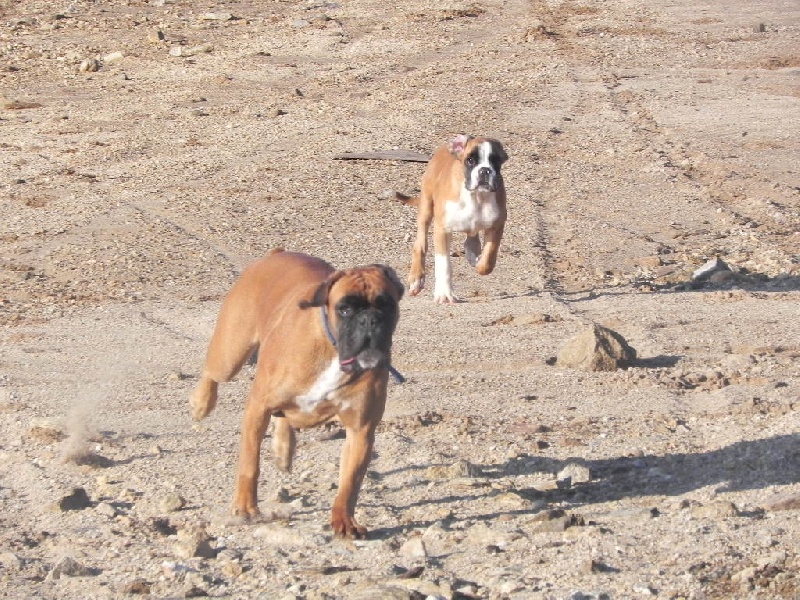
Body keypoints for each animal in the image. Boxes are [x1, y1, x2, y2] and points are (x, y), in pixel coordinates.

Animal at [190, 248, 404, 540]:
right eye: (345, 308)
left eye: (387, 305)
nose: (369, 319)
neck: (333, 349)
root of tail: (277, 253)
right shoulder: (258, 406)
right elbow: (249, 462)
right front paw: (245, 507)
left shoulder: (360, 431)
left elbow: (350, 482)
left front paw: (344, 520)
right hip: (230, 353)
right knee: (212, 373)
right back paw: (201, 404)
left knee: (284, 418)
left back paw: (283, 449)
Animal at [398, 136, 510, 304]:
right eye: (470, 160)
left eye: (495, 160)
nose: (485, 170)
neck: (476, 197)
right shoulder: (442, 230)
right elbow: (444, 264)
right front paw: (444, 294)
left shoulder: (497, 225)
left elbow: (489, 258)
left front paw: (480, 263)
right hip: (426, 207)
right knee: (420, 244)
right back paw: (417, 279)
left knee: (472, 236)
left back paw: (473, 253)